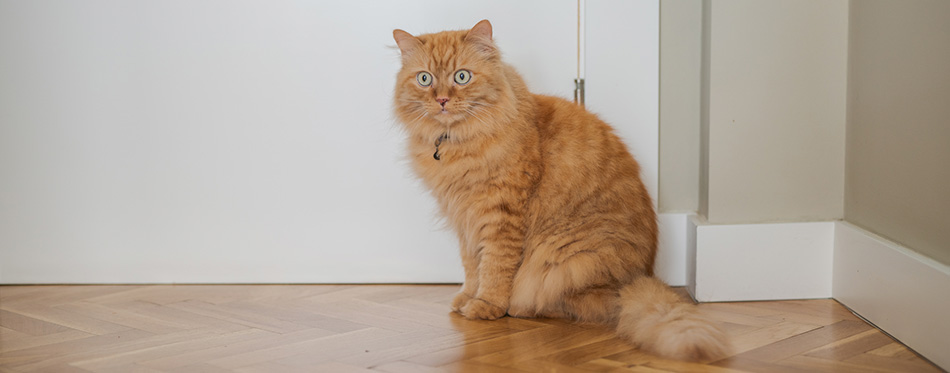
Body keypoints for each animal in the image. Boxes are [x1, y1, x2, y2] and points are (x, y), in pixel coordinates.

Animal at [390, 20, 732, 360]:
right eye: (424, 79)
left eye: (462, 76)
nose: (442, 100)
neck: (456, 144)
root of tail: (638, 279)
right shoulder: (465, 221)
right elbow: (473, 266)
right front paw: (466, 297)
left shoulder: (501, 216)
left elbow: (495, 267)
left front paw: (486, 305)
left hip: (564, 259)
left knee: (578, 304)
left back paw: (519, 308)